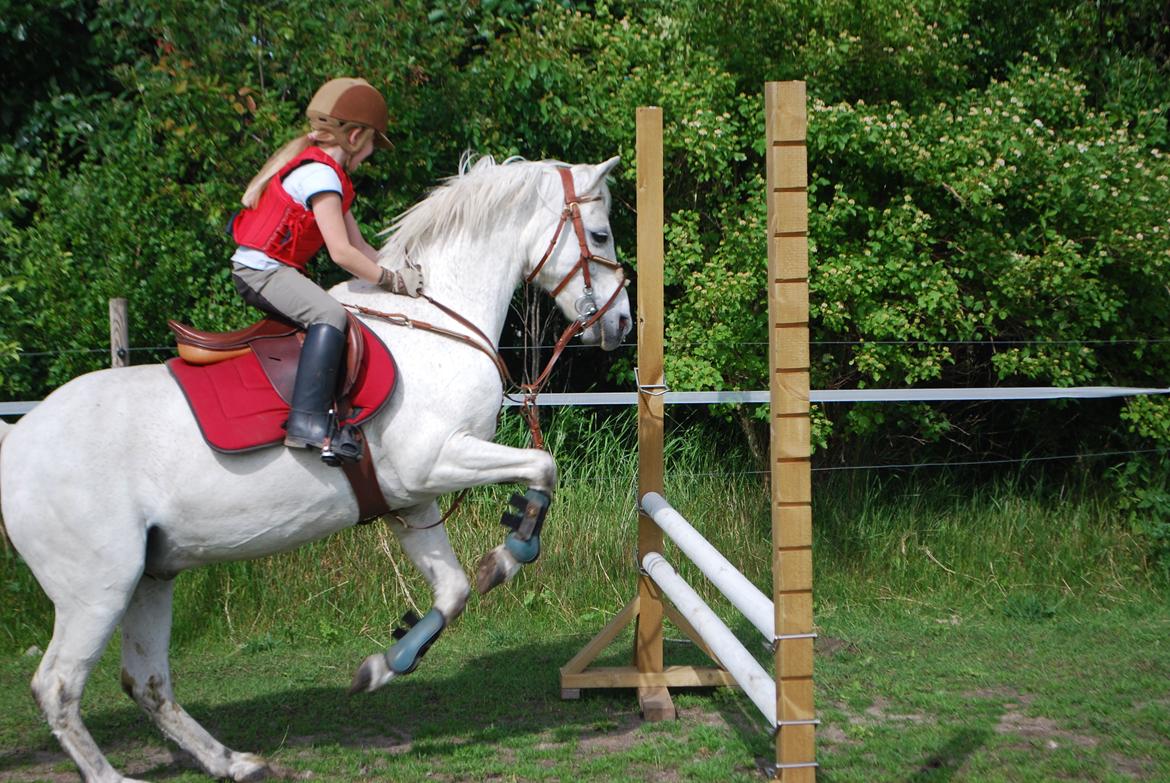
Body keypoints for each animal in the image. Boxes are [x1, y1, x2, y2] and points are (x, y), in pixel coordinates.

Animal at [0, 155, 630, 783]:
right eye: (600, 235)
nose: (622, 323)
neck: (433, 321)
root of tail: (17, 441)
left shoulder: (410, 498)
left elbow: (453, 591)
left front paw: (385, 663)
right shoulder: (438, 459)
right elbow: (543, 467)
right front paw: (509, 554)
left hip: (151, 576)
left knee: (147, 683)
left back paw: (234, 762)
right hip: (97, 589)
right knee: (59, 686)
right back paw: (117, 774)